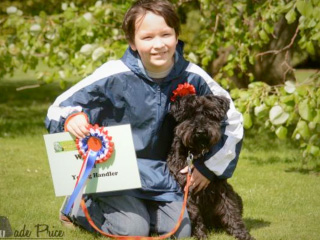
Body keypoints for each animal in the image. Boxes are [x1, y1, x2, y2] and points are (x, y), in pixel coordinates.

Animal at [168, 94, 255, 240]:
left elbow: (231, 210)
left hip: (237, 196)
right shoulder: (186, 189)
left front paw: (242, 233)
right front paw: (201, 235)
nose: (201, 131)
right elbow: (195, 214)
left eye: (209, 114)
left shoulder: (222, 187)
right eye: (190, 114)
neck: (196, 153)